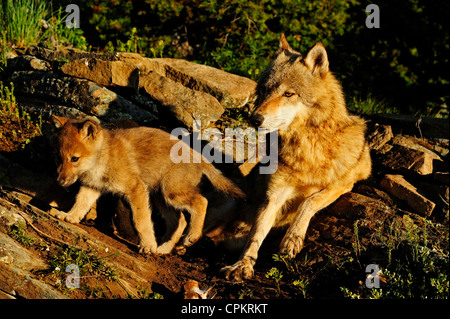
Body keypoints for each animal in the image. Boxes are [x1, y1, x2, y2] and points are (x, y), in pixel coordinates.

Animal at [216, 33, 370, 282]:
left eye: (288, 93)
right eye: (264, 91)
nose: (254, 118)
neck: (308, 148)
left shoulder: (344, 183)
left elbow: (310, 201)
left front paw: (292, 239)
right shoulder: (274, 196)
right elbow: (255, 236)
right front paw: (242, 264)